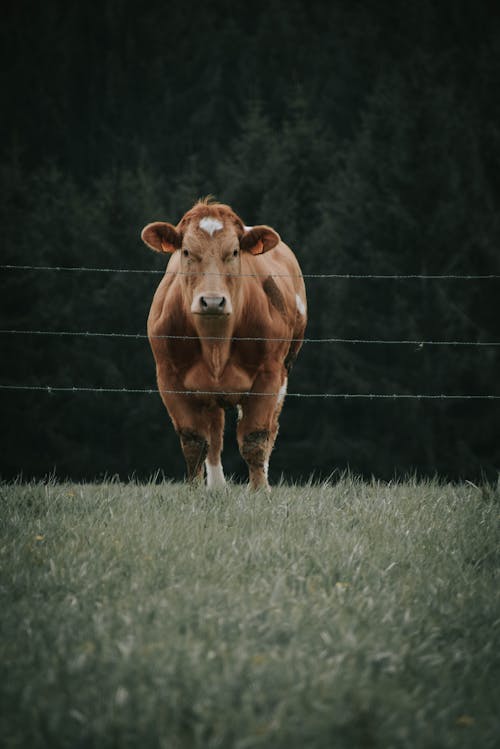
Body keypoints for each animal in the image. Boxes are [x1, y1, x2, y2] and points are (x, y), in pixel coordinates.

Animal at [139, 200, 306, 490]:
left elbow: (255, 438)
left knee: (270, 428)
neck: (215, 343)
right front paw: (194, 490)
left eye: (235, 252)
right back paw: (216, 486)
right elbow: (194, 440)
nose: (213, 301)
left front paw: (259, 490)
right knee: (214, 434)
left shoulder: (269, 376)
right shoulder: (168, 378)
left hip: (285, 370)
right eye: (186, 251)